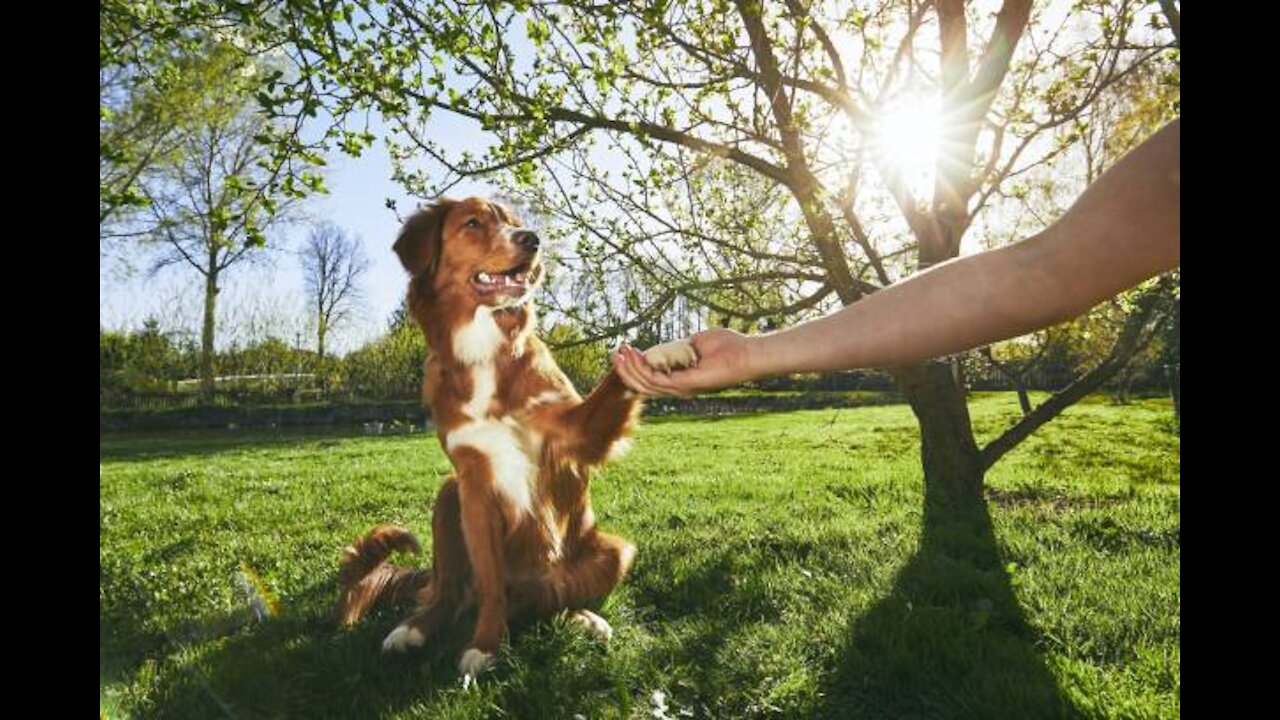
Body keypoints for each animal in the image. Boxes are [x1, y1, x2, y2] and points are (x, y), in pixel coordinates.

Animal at [335, 196, 696, 676]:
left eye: (515, 222)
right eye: (473, 223)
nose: (532, 239)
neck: (485, 350)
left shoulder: (576, 434)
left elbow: (617, 375)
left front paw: (663, 353)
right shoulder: (474, 483)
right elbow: (490, 584)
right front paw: (487, 645)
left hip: (615, 551)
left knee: (553, 601)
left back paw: (583, 619)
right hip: (448, 496)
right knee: (449, 593)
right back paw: (413, 629)